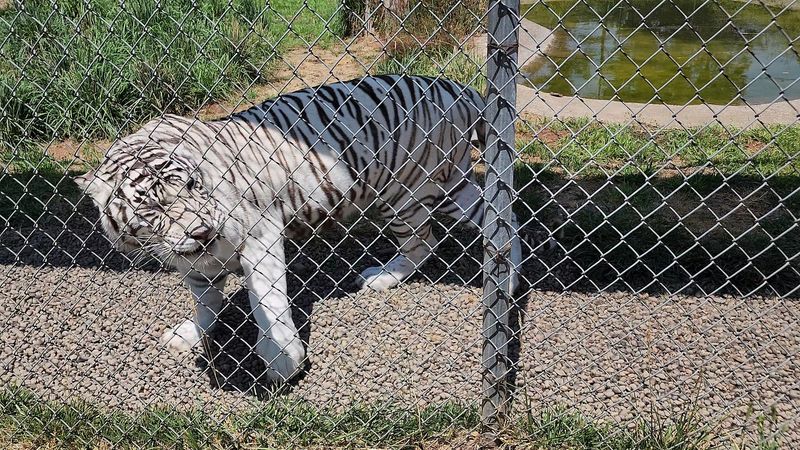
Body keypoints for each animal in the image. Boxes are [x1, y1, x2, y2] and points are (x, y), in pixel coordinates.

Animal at [75, 75, 523, 383]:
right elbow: (206, 302)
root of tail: (456, 88)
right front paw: (190, 333)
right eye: (152, 206)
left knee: (430, 240)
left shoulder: (259, 233)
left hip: (409, 190)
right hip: (449, 184)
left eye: (191, 186)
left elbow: (268, 301)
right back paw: (506, 275)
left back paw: (393, 277)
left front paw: (283, 360)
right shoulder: (192, 263)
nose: (202, 232)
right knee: (496, 215)